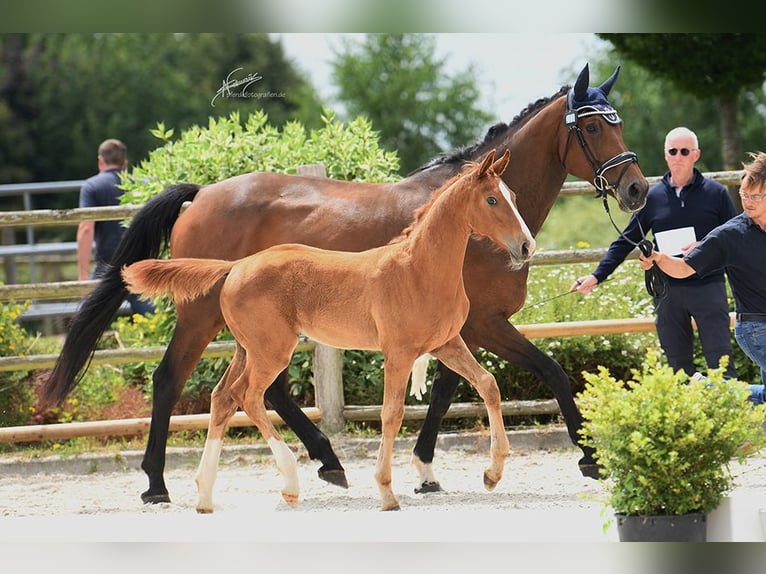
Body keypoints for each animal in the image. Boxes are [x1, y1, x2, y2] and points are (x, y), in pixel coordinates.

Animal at [122, 149, 533, 512]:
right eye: (492, 199)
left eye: (514, 196)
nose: (526, 246)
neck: (419, 269)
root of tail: (235, 267)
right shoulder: (398, 352)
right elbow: (392, 414)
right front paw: (387, 492)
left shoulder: (447, 343)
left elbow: (488, 385)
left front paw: (492, 473)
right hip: (270, 350)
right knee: (248, 396)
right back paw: (288, 482)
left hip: (248, 348)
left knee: (223, 398)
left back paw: (205, 496)